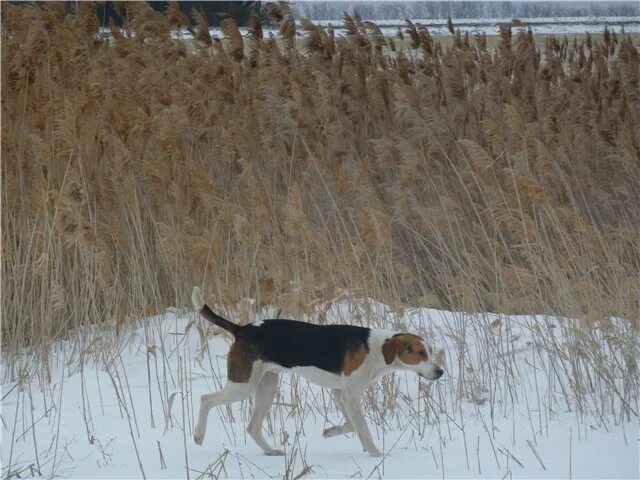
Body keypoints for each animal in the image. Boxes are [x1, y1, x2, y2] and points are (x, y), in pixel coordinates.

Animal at [190, 286, 442, 456]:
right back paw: (199, 434)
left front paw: (331, 431)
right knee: (205, 399)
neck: (377, 348)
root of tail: (242, 329)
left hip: (267, 387)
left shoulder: (341, 394)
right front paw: (377, 455)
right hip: (243, 386)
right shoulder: (351, 396)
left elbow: (351, 424)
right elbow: (363, 429)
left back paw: (271, 451)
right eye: (420, 353)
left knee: (252, 427)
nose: (440, 372)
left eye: (429, 352)